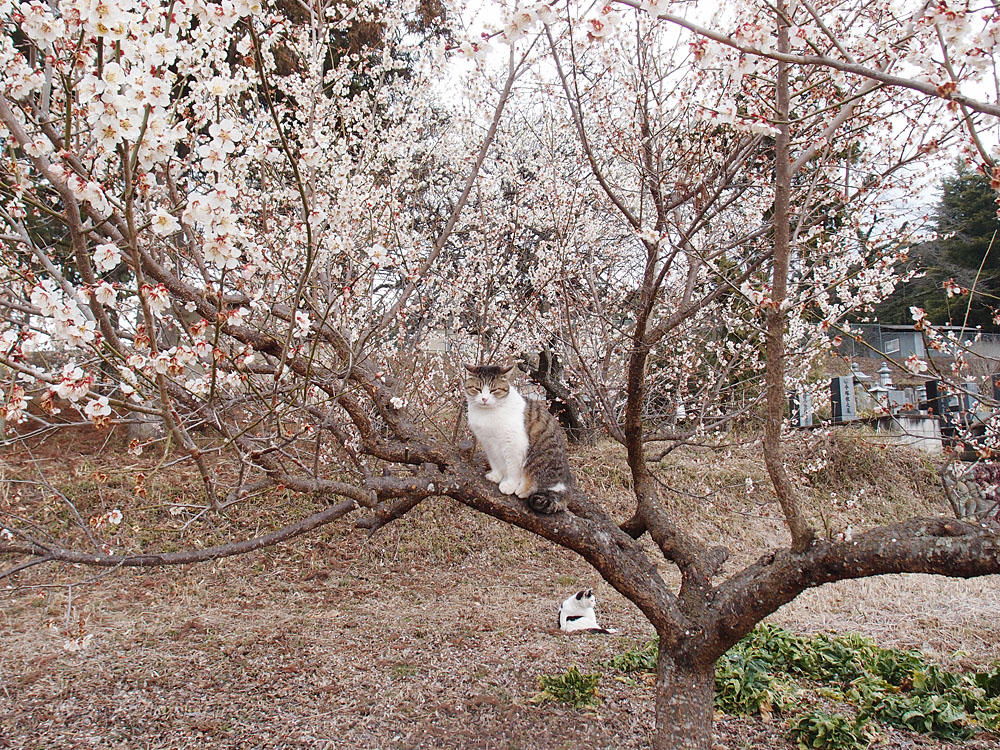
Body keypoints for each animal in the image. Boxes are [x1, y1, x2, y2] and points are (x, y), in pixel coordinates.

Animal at [462, 364, 572, 516]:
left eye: (494, 390)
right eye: (477, 389)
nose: (484, 399)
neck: (487, 413)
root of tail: (566, 487)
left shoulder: (514, 445)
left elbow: (513, 469)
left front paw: (509, 485)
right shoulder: (489, 444)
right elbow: (495, 462)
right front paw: (496, 476)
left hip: (538, 459)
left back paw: (522, 490)